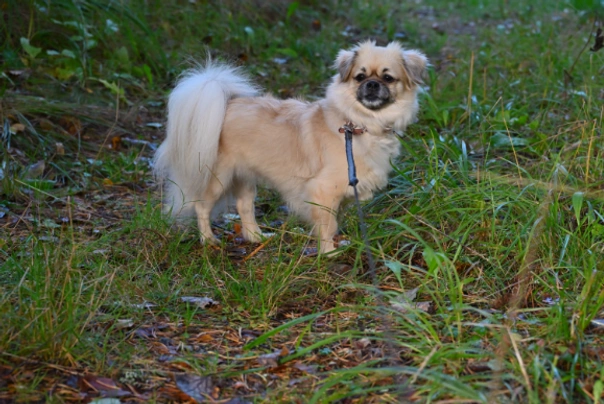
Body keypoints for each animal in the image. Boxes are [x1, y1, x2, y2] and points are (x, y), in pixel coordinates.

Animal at [156, 41, 430, 256]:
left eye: (388, 78)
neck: (360, 125)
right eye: (360, 77)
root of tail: (226, 104)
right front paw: (328, 253)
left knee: (245, 207)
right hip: (218, 178)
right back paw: (209, 240)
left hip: (244, 177)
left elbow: (334, 222)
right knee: (202, 207)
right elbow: (327, 225)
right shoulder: (323, 191)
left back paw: (256, 237)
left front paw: (336, 245)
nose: (372, 85)